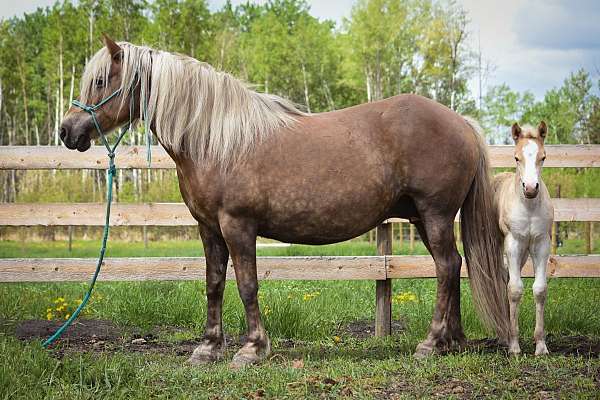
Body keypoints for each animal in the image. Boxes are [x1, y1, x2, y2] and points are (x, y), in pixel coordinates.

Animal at [59, 36, 510, 368]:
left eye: (100, 81)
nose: (67, 132)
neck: (217, 141)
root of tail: (460, 121)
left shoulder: (237, 225)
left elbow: (247, 284)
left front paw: (251, 349)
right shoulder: (209, 228)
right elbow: (214, 283)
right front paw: (207, 348)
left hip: (435, 215)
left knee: (447, 267)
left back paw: (431, 343)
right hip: (422, 218)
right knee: (451, 266)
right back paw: (451, 341)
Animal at [494, 122, 556, 356]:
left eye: (543, 157)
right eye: (516, 157)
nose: (530, 188)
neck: (528, 207)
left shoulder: (541, 244)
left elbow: (539, 289)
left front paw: (541, 345)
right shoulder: (514, 243)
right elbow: (515, 290)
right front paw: (514, 346)